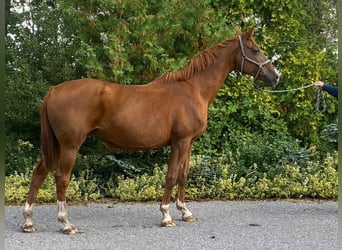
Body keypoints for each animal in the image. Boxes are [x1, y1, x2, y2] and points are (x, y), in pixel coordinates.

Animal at [20, 28, 278, 233]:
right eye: (255, 50)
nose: (276, 76)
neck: (192, 89)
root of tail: (55, 90)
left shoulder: (189, 143)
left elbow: (183, 175)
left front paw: (185, 212)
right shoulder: (180, 141)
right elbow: (171, 176)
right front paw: (166, 216)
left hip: (55, 145)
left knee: (38, 173)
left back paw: (28, 222)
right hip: (70, 146)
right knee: (61, 178)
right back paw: (66, 223)